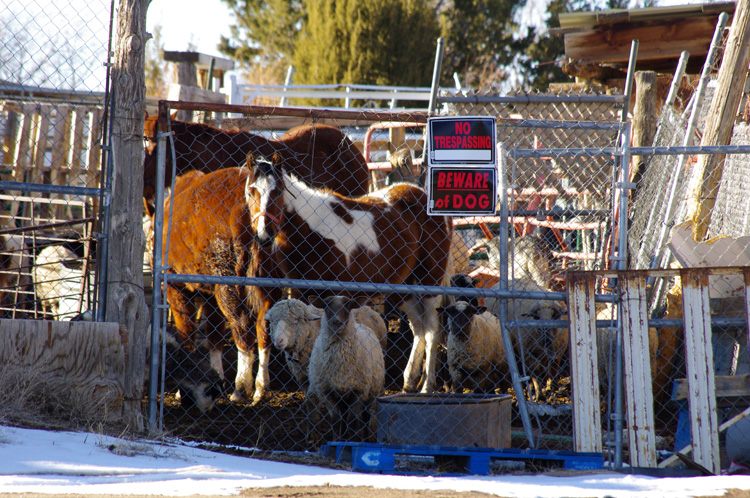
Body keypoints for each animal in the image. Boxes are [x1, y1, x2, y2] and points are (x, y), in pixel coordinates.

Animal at [250, 156, 456, 392]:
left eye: (277, 191)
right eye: (252, 191)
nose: (264, 235)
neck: (311, 231)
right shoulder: (304, 292)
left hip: (429, 281)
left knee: (431, 330)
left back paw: (427, 385)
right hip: (403, 288)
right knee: (419, 328)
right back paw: (409, 381)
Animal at [306, 294, 384, 442]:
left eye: (348, 305)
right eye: (326, 305)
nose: (337, 322)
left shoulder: (359, 390)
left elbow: (352, 420)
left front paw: (350, 442)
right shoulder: (326, 391)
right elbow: (336, 419)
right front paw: (337, 441)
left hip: (371, 391)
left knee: (365, 417)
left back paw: (365, 439)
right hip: (342, 397)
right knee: (343, 416)